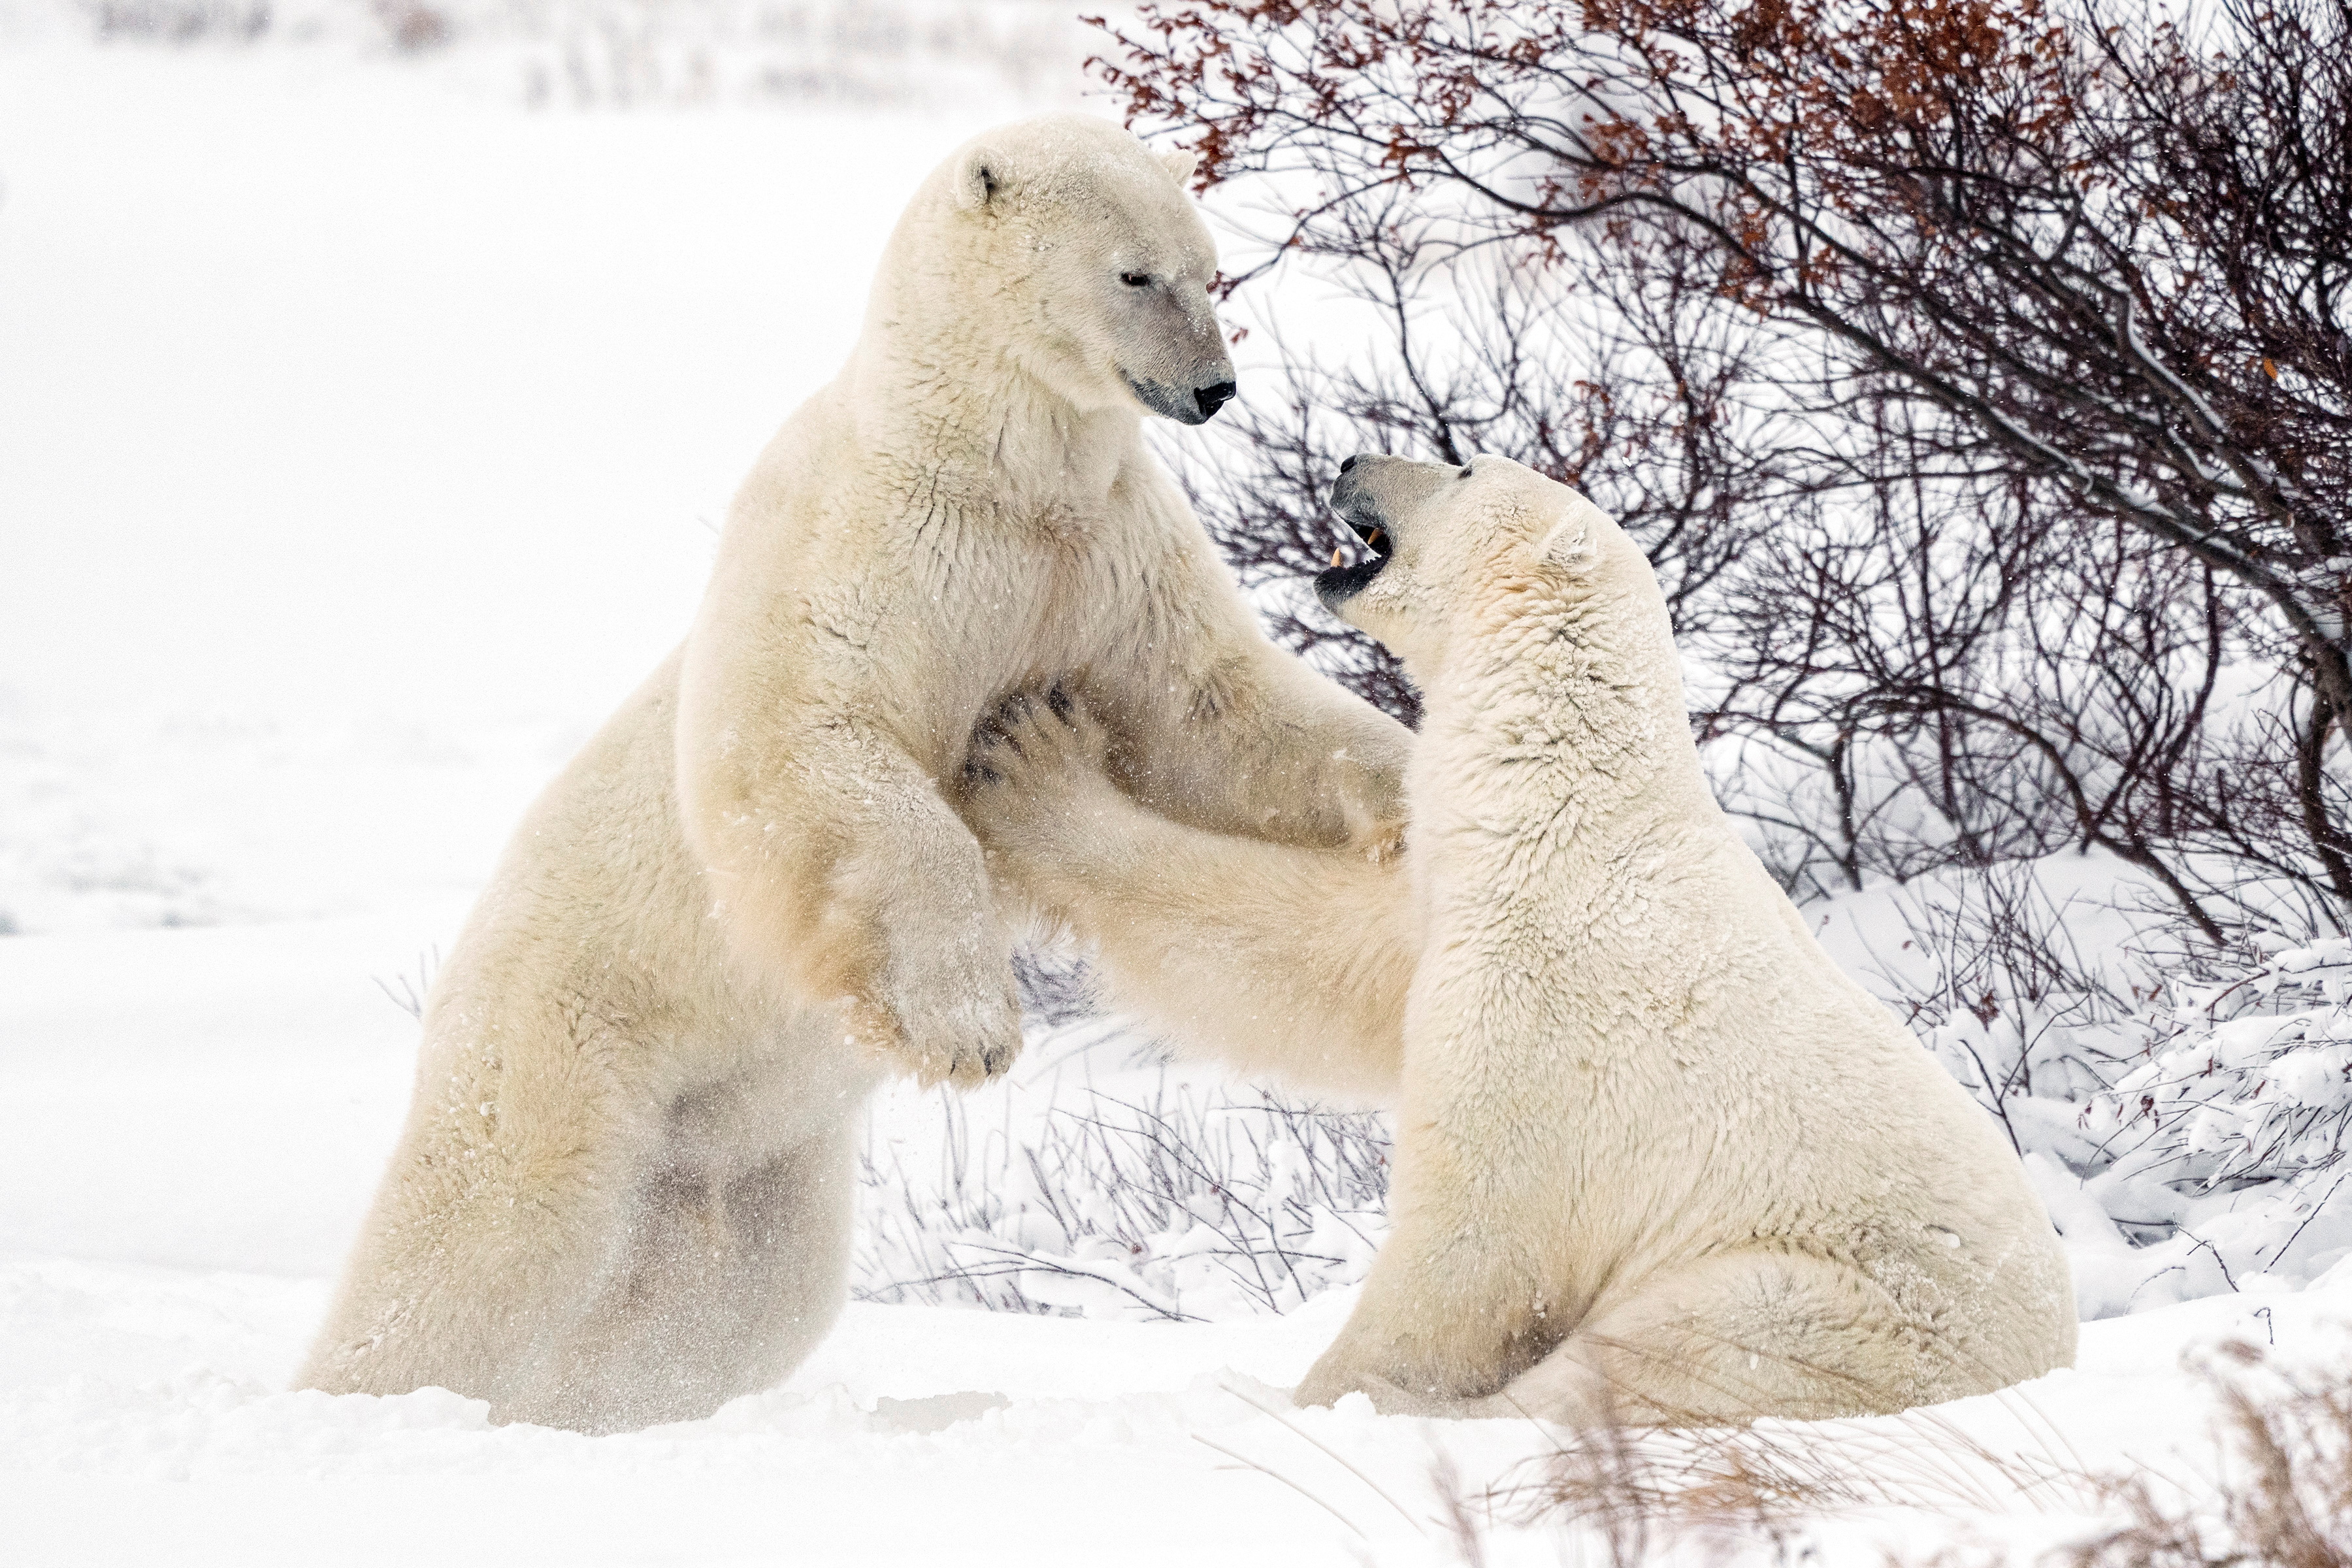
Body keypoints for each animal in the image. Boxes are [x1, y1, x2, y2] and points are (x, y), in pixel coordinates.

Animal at [310, 116, 1411, 1429]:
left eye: (1213, 272)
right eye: (1135, 274)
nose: (1214, 389)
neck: (988, 464)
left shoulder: (1107, 559)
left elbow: (1211, 714)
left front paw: (1415, 792)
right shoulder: (864, 542)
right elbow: (811, 744)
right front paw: (967, 1027)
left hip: (744, 1150)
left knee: (729, 1305)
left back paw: (600, 1405)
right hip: (565, 1032)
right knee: (487, 1231)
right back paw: (371, 1392)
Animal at [955, 453, 2079, 1420]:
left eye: (1462, 467)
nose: (1350, 459)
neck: (1567, 797)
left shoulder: (1548, 1008)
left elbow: (1475, 1236)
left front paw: (1330, 1394)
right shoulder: (1453, 904)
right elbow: (1316, 954)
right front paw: (1031, 761)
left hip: (1831, 1305)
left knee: (1654, 1364)